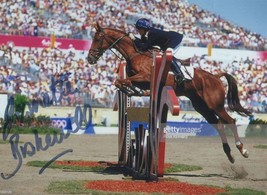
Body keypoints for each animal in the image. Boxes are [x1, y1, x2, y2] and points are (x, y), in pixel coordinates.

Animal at [88, 22, 253, 164]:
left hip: (215, 105)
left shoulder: (145, 76)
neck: (135, 53)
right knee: (218, 124)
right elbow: (120, 82)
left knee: (230, 121)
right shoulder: (138, 79)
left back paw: (243, 150)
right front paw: (132, 90)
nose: (90, 59)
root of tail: (216, 77)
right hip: (201, 106)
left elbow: (124, 81)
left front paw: (131, 89)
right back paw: (229, 154)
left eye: (97, 39)